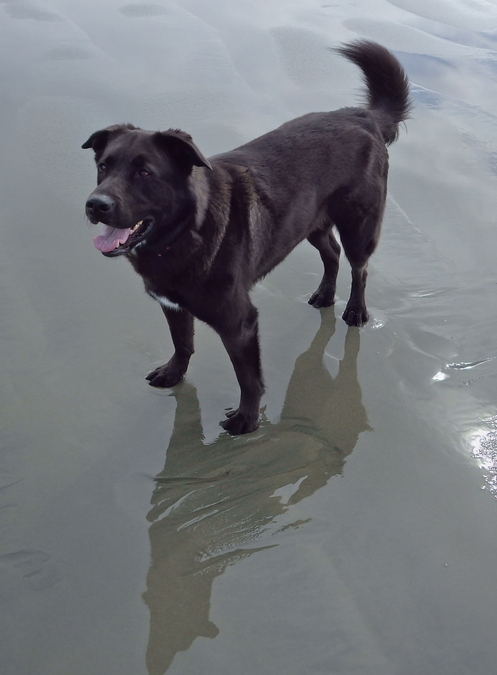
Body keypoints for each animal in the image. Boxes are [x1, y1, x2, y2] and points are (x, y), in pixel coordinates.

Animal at [82, 39, 410, 436]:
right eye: (103, 167)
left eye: (144, 172)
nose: (95, 205)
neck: (186, 232)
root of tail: (362, 116)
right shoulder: (172, 305)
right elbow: (182, 343)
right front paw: (174, 374)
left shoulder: (239, 322)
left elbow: (248, 378)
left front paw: (247, 420)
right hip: (309, 223)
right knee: (331, 254)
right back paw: (324, 295)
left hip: (358, 225)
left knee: (358, 267)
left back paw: (355, 310)